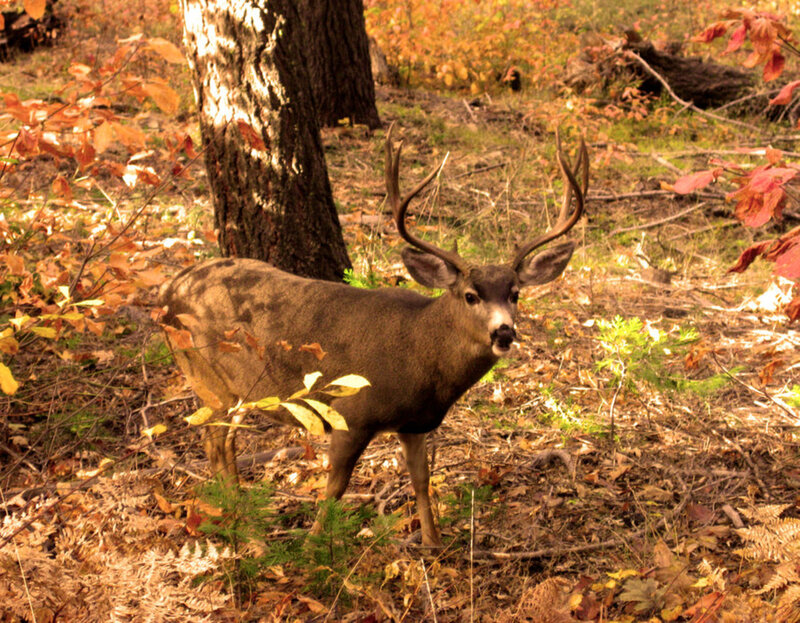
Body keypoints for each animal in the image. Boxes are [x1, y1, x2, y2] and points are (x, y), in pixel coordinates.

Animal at [158, 126, 588, 547]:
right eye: (470, 295)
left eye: (514, 293)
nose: (504, 331)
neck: (421, 352)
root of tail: (167, 292)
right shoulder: (352, 413)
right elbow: (335, 488)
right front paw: (312, 548)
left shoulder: (414, 424)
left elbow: (421, 481)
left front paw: (433, 546)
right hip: (209, 376)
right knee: (215, 443)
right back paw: (250, 535)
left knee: (221, 444)